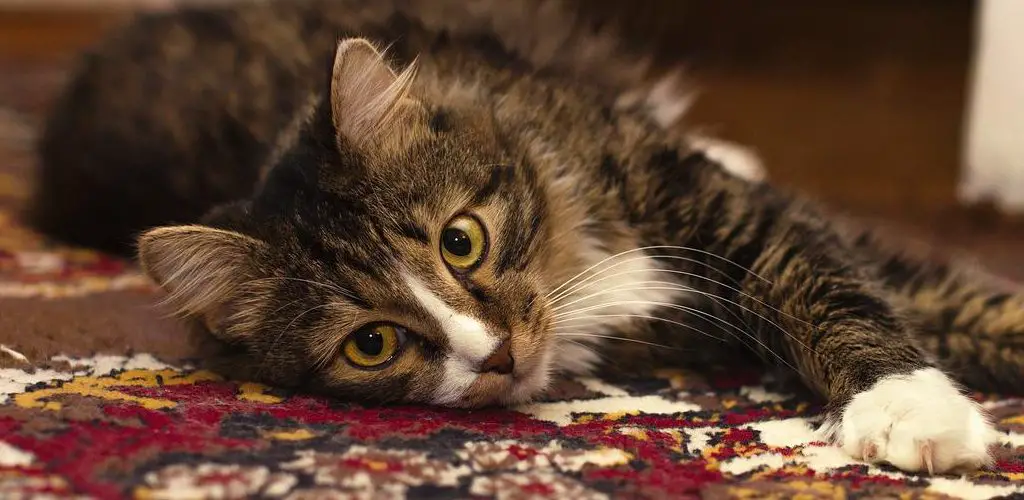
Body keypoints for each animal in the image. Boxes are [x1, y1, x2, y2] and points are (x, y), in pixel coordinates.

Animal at [28, 0, 1019, 477]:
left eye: (461, 242)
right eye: (373, 344)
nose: (497, 353)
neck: (572, 260)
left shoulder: (735, 217)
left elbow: (858, 289)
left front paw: (912, 407)